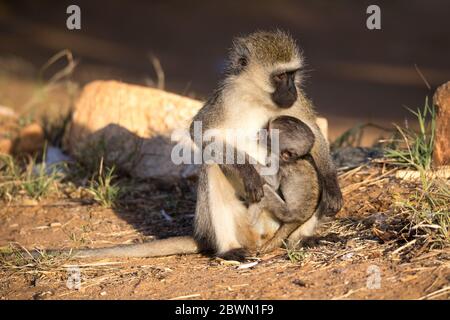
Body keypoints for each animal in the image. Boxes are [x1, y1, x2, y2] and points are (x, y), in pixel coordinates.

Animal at [251, 115, 322, 252]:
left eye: (268, 133)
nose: (259, 133)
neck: (294, 159)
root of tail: (300, 219)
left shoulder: (279, 163)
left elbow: (272, 183)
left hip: (287, 213)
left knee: (266, 192)